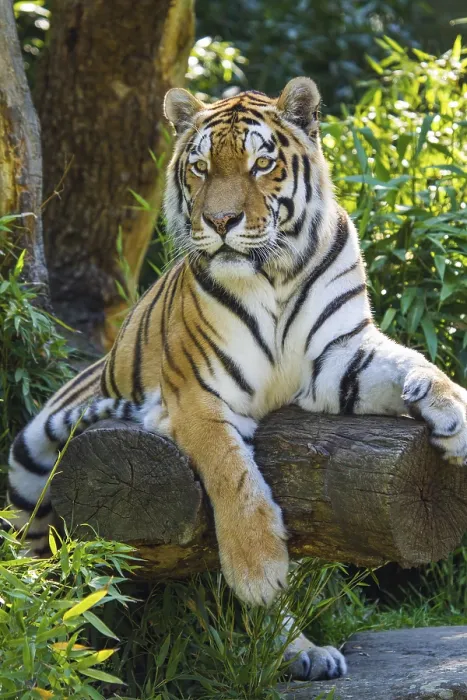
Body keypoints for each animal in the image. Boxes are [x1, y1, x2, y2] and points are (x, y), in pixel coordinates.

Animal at [7, 77, 467, 682]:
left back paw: (302, 653)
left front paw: (453, 414)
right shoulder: (196, 395)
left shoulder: (339, 355)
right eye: (201, 168)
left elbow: (413, 364)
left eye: (260, 164)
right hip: (29, 463)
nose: (220, 223)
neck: (274, 273)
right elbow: (233, 474)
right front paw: (258, 568)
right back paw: (45, 633)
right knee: (35, 566)